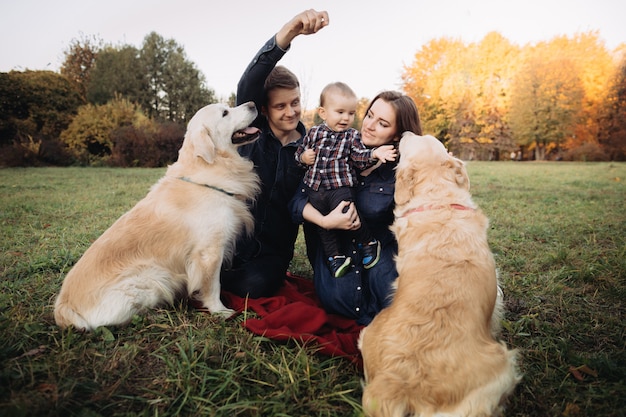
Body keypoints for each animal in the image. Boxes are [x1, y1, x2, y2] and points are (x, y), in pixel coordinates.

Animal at [52, 101, 260, 332]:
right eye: (225, 113)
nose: (253, 104)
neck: (212, 165)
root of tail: (64, 310)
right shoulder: (209, 252)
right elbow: (213, 286)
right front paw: (220, 311)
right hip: (153, 277)